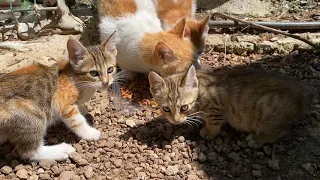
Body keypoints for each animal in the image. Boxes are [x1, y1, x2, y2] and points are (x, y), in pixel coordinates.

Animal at [0, 32, 118, 160]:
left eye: (110, 69)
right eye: (93, 73)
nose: (106, 82)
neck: (77, 80)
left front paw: (82, 108)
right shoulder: (61, 103)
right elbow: (78, 121)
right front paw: (90, 133)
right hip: (31, 115)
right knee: (29, 152)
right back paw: (62, 150)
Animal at [149, 65, 316, 148]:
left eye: (184, 107)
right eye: (166, 109)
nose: (175, 121)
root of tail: (307, 95)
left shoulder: (216, 109)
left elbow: (213, 123)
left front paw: (208, 132)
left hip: (268, 108)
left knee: (282, 130)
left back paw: (258, 139)